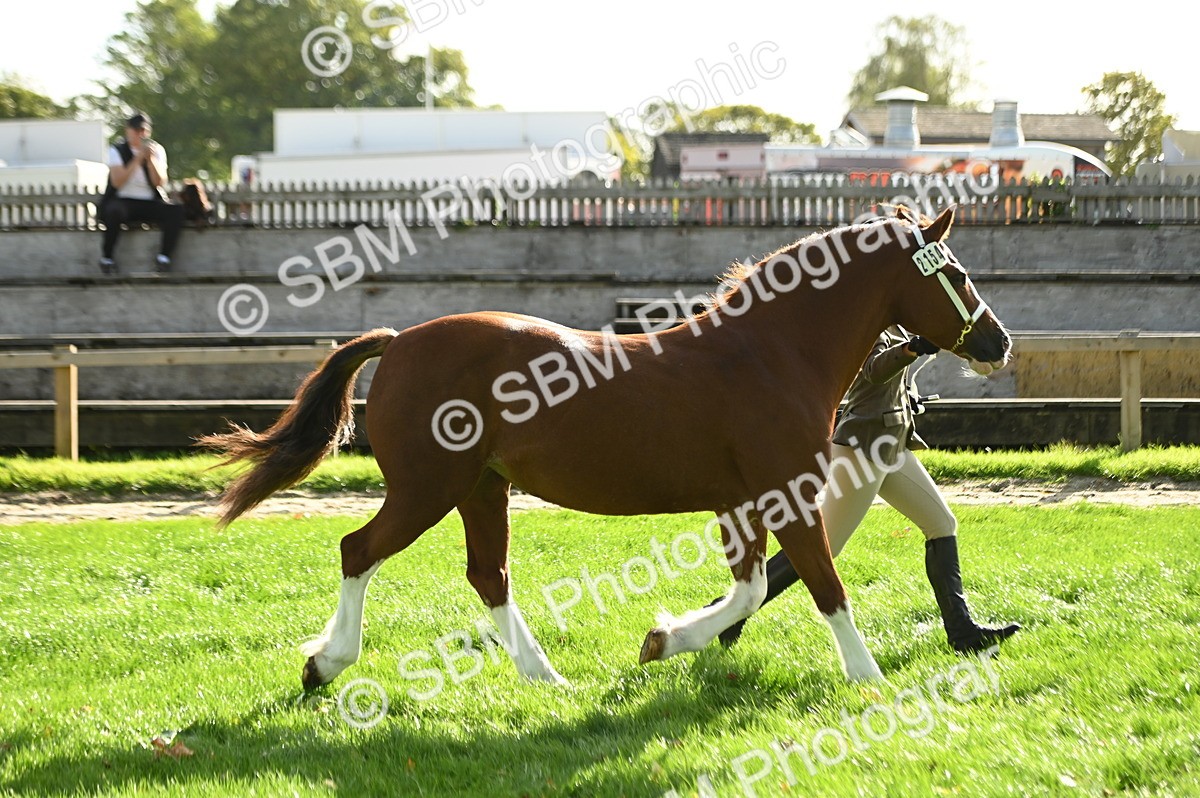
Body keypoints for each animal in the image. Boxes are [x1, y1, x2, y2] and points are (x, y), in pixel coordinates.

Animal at [200, 205, 1011, 690]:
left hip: (481, 489)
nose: (998, 343)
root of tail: (398, 341)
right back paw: (325, 664)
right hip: (429, 488)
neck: (769, 353)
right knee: (358, 550)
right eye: (957, 272)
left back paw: (544, 678)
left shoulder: (743, 503)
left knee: (487, 574)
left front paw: (664, 640)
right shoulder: (785, 495)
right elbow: (824, 584)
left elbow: (753, 585)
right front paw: (869, 677)